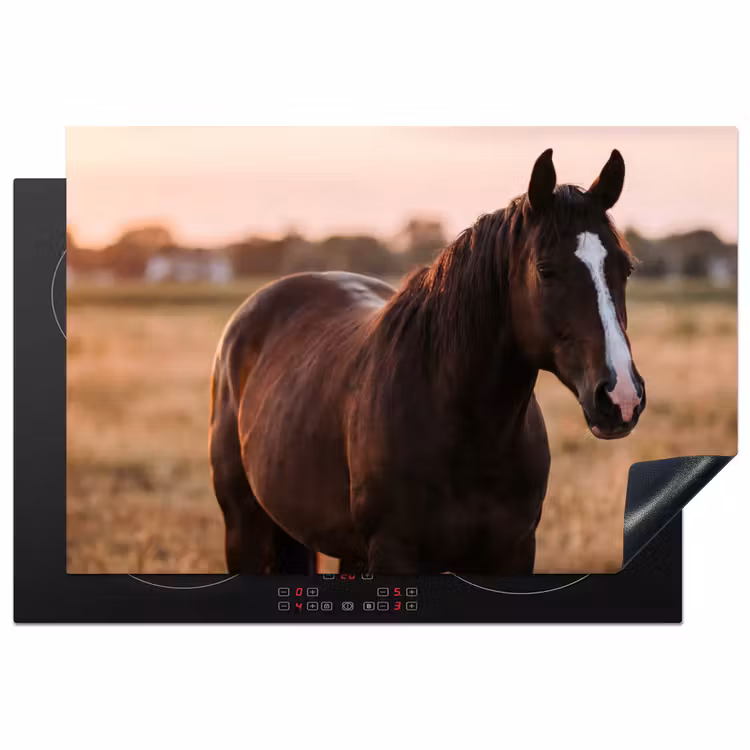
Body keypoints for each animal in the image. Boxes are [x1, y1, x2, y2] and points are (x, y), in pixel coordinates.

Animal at [209, 148, 645, 575]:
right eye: (546, 270)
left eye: (625, 268)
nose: (621, 396)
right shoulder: (394, 553)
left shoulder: (515, 552)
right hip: (244, 528)